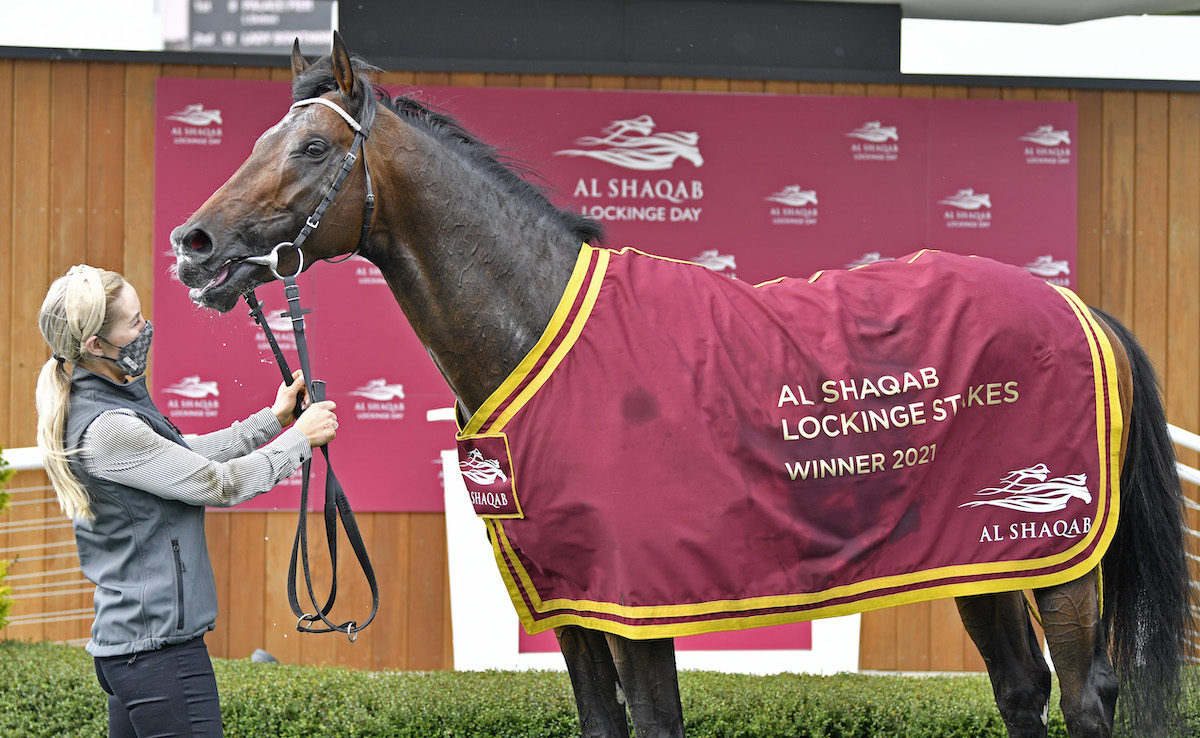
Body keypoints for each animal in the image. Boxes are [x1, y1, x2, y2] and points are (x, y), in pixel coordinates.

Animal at [166, 34, 1190, 738]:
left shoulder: (635, 602)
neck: (539, 325)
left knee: (1084, 696)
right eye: (261, 137)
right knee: (1021, 690)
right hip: (981, 559)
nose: (195, 246)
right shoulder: (570, 605)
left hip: (1061, 563)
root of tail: (1080, 309)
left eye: (309, 150)